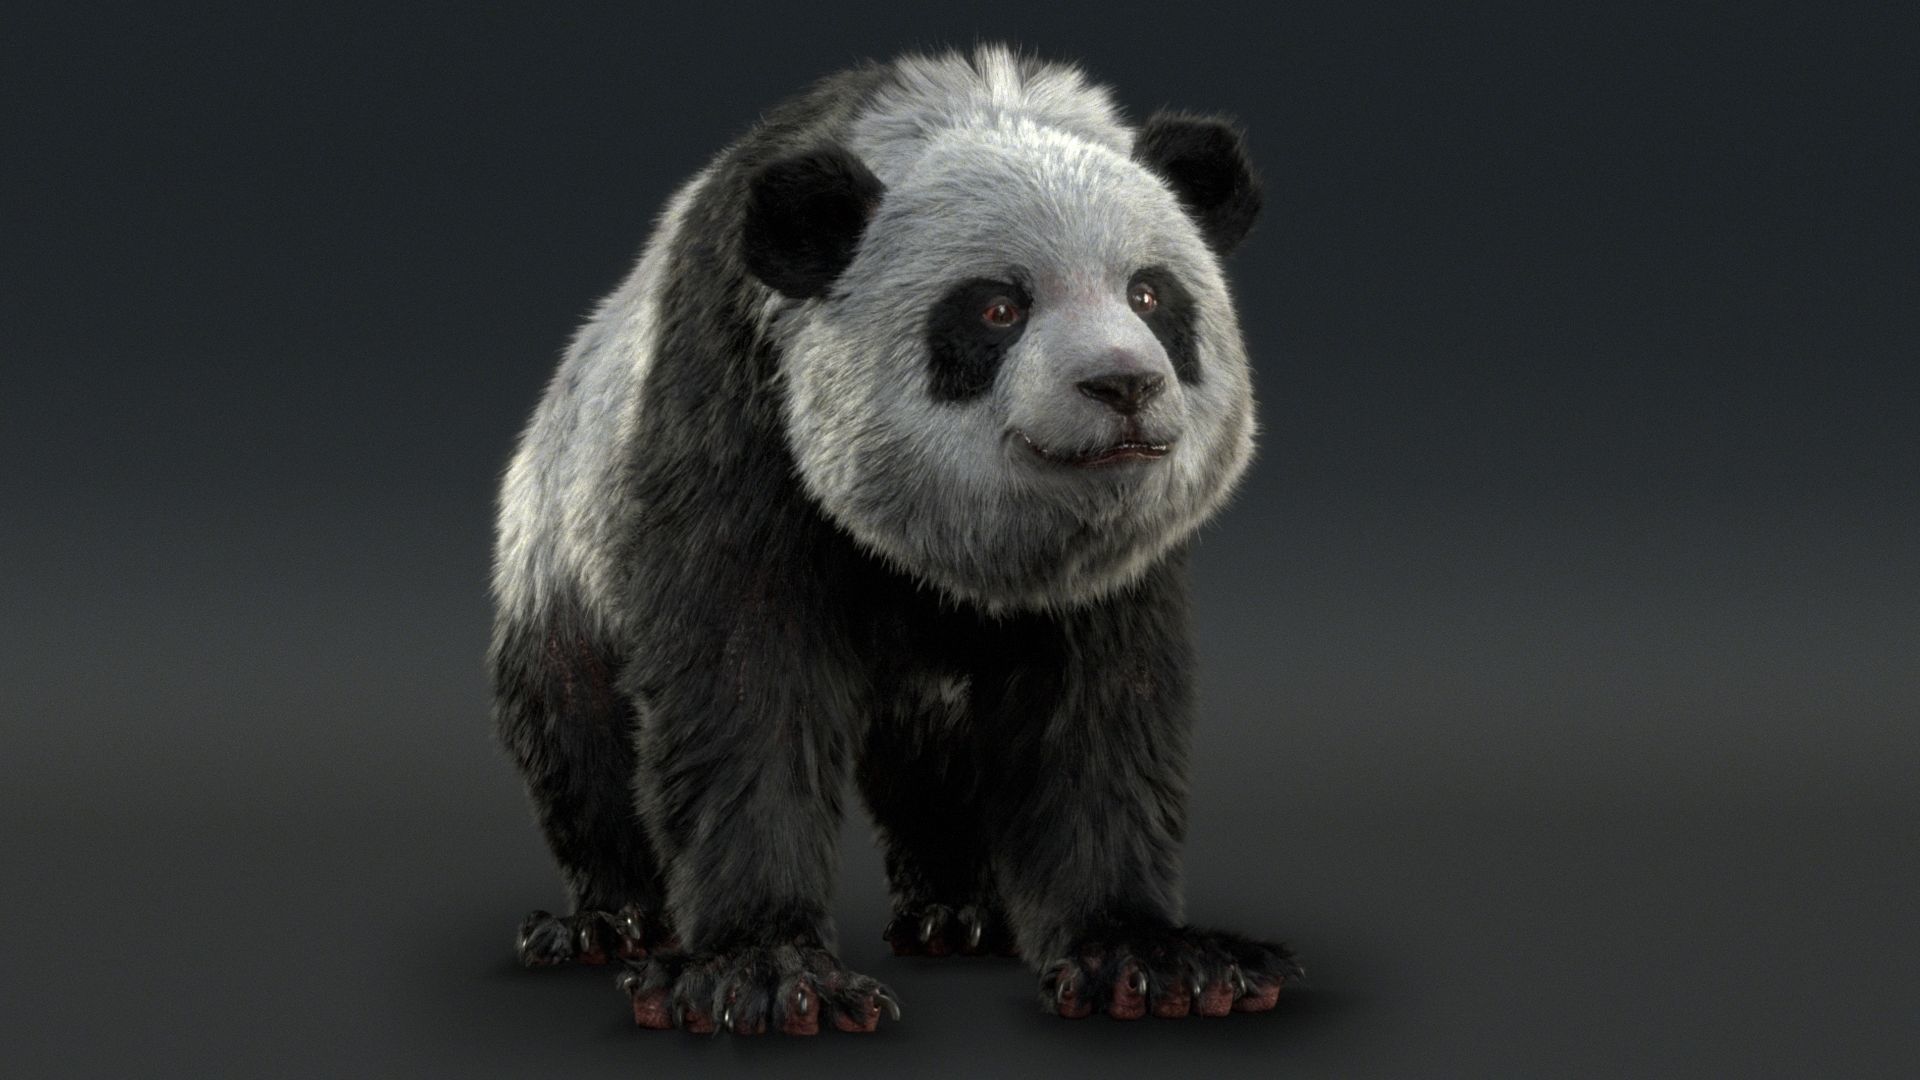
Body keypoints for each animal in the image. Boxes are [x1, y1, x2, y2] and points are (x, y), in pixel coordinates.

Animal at [490, 42, 1299, 1035]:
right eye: (996, 310)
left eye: (1151, 295)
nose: (1123, 385)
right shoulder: (736, 400)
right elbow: (740, 675)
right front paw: (760, 970)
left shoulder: (1114, 566)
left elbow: (1103, 702)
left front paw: (1150, 958)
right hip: (558, 536)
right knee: (575, 732)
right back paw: (609, 921)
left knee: (937, 761)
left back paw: (960, 913)